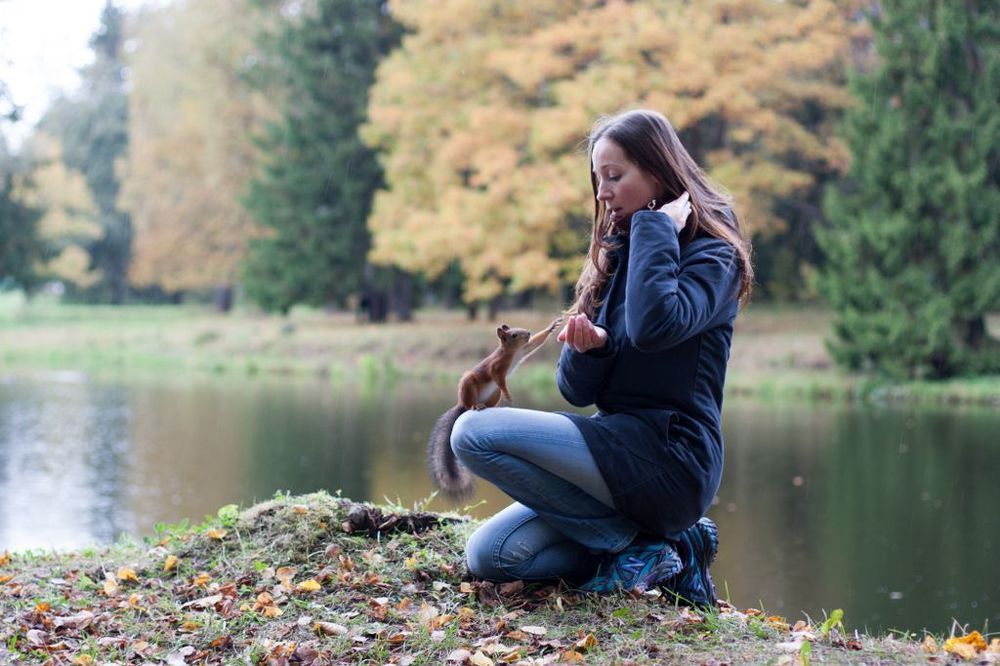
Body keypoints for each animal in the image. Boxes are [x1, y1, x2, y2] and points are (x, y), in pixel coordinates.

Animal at [427, 317, 563, 499]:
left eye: (520, 331)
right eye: (513, 335)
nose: (528, 333)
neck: (511, 353)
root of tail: (461, 404)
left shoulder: (524, 350)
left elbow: (535, 343)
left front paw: (551, 327)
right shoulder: (496, 367)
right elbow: (499, 379)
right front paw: (508, 395)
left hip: (493, 393)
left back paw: (491, 407)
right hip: (469, 384)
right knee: (469, 403)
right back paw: (475, 405)